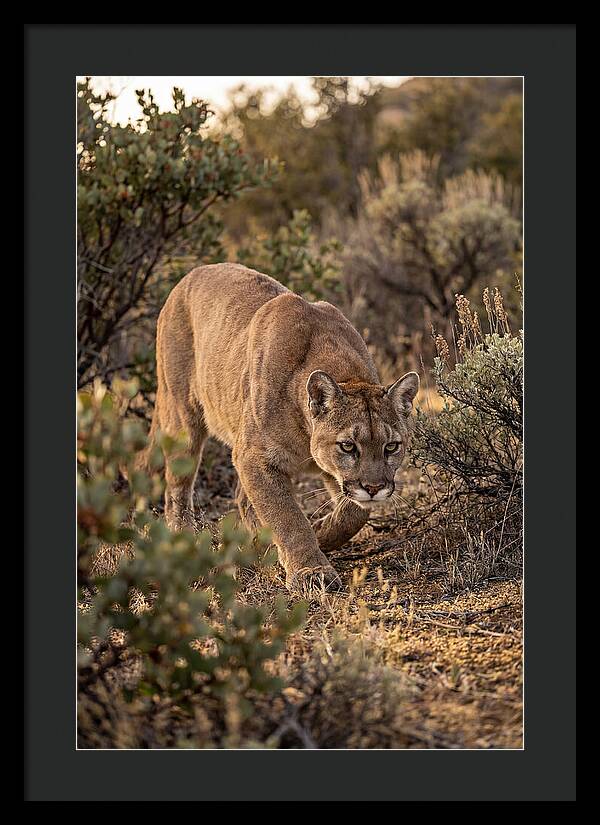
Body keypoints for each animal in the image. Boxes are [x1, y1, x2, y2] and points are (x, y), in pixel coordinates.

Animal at [142, 263, 419, 592]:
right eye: (348, 446)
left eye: (391, 446)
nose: (374, 488)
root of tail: (190, 274)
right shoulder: (255, 457)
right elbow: (287, 516)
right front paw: (311, 571)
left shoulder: (328, 472)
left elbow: (354, 512)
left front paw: (321, 532)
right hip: (183, 417)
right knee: (177, 489)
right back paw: (183, 538)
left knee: (241, 497)